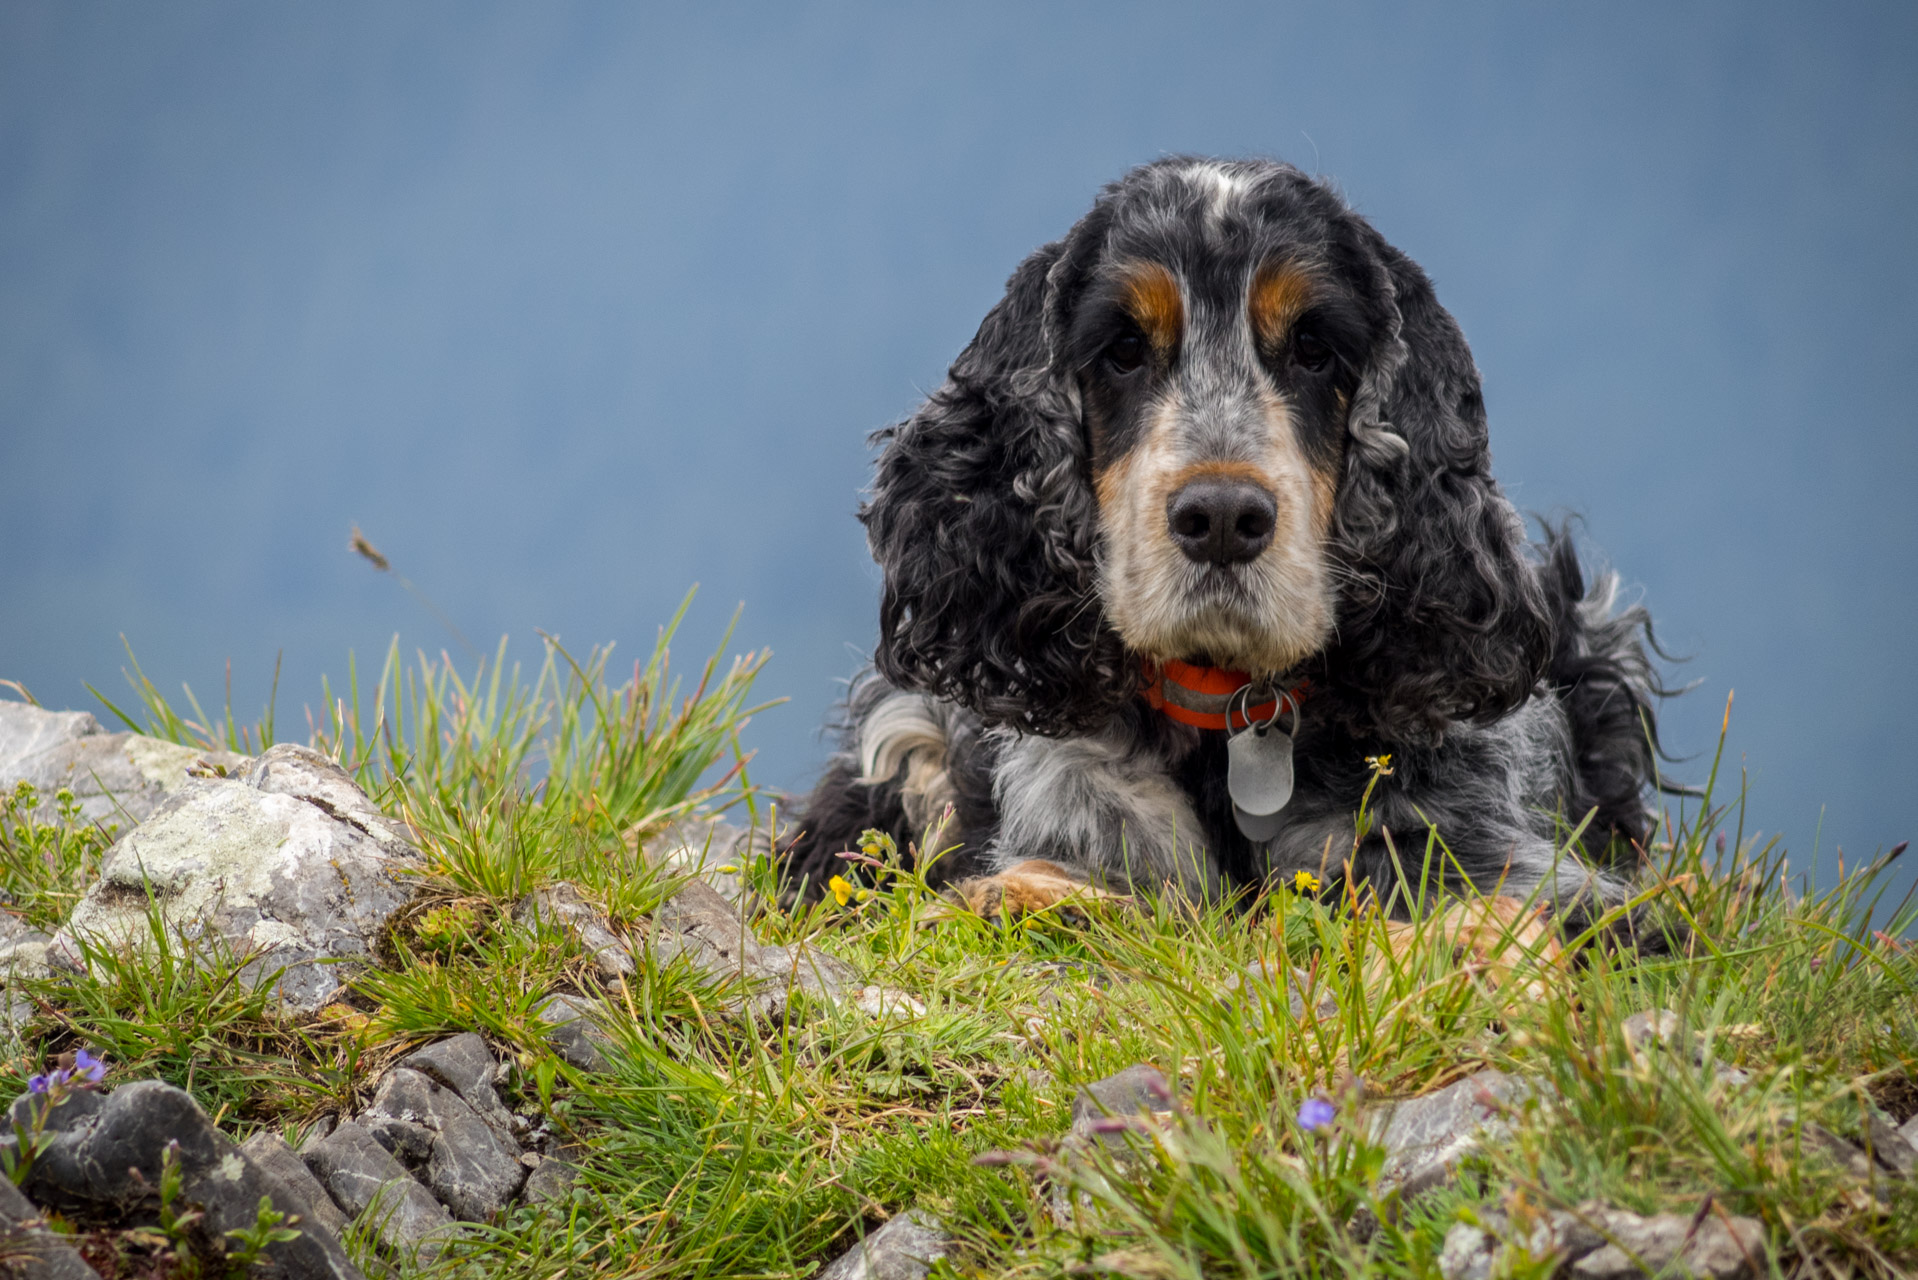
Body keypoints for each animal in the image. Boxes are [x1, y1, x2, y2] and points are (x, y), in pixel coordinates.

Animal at [778, 157, 1664, 932]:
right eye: (1123, 350)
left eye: (1314, 348)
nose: (1224, 519)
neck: (1227, 717)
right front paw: (1027, 894)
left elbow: (1493, 897)